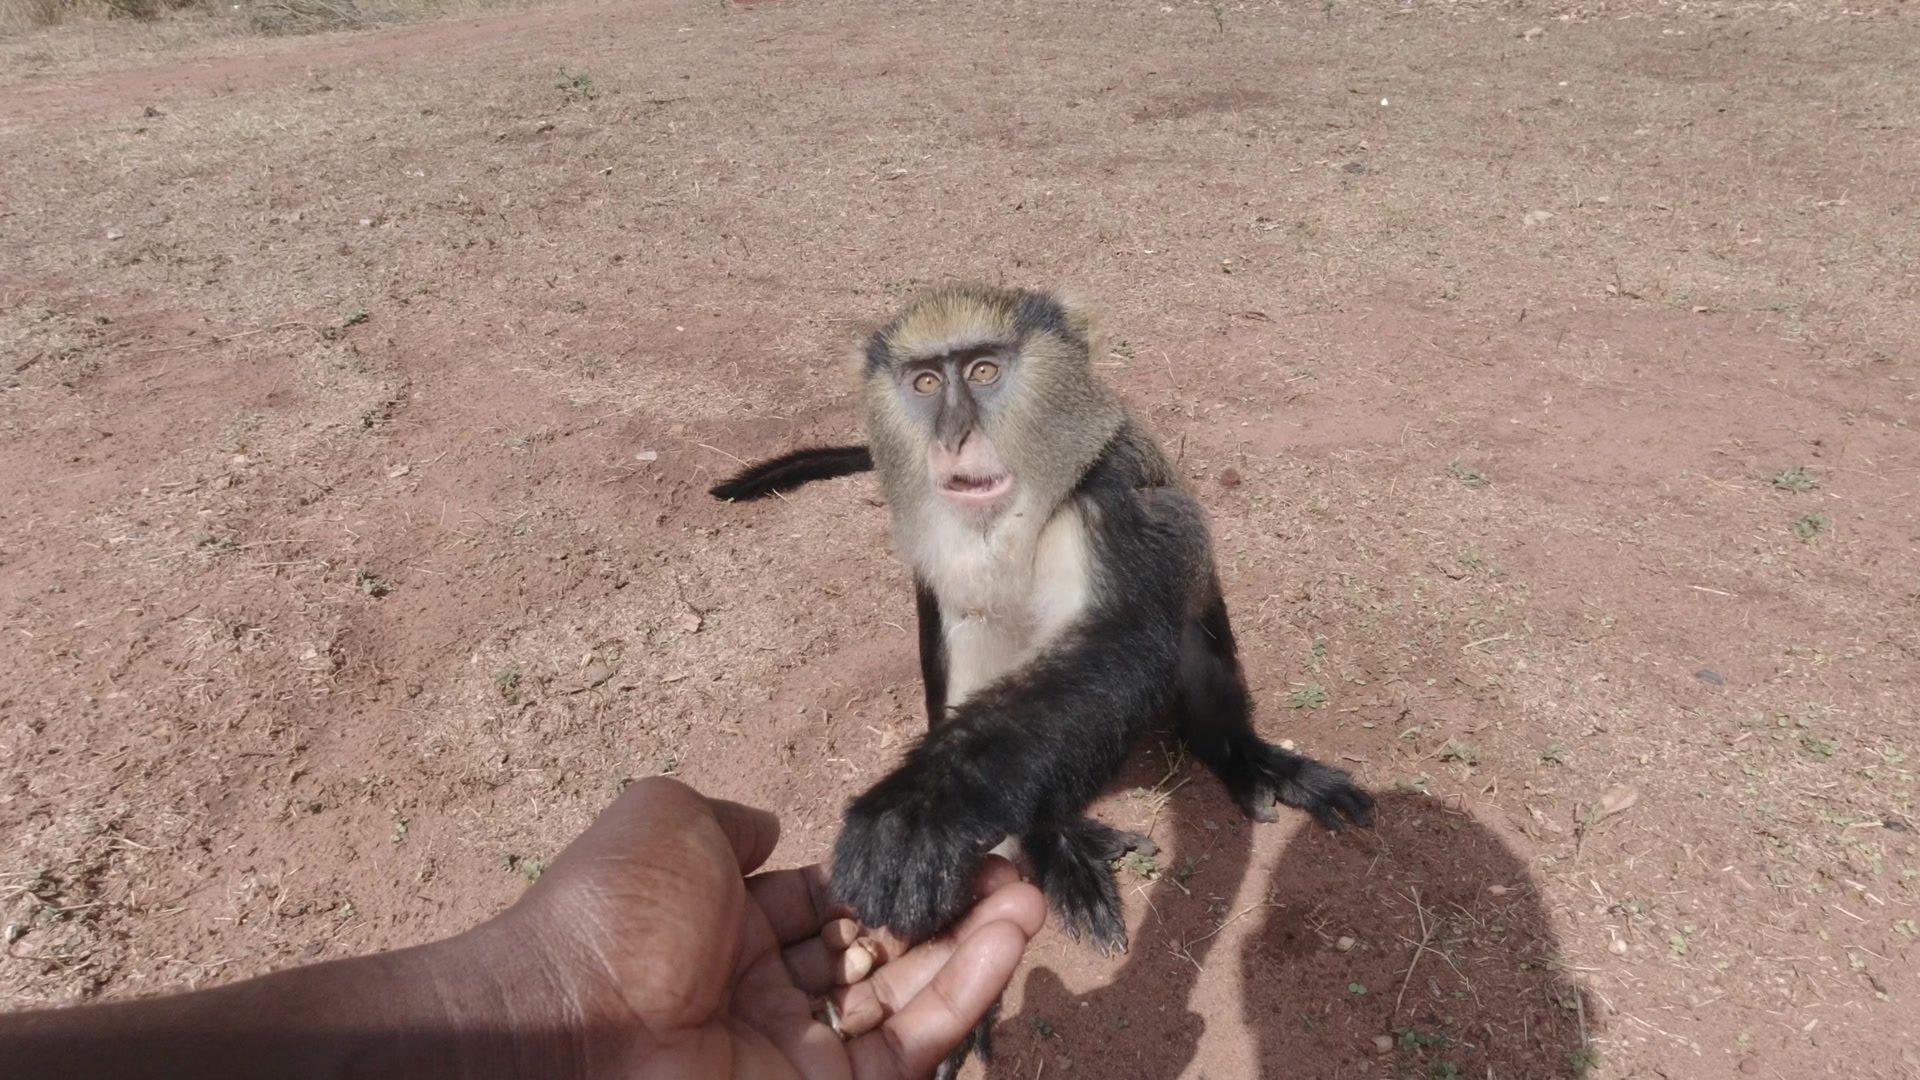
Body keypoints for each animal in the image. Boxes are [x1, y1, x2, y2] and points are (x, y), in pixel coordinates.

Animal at [714, 286, 1374, 1076]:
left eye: (985, 370)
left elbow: (1125, 641)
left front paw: (917, 812)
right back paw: (1055, 841)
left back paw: (1244, 758)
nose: (953, 437)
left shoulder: (1108, 499)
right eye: (925, 383)